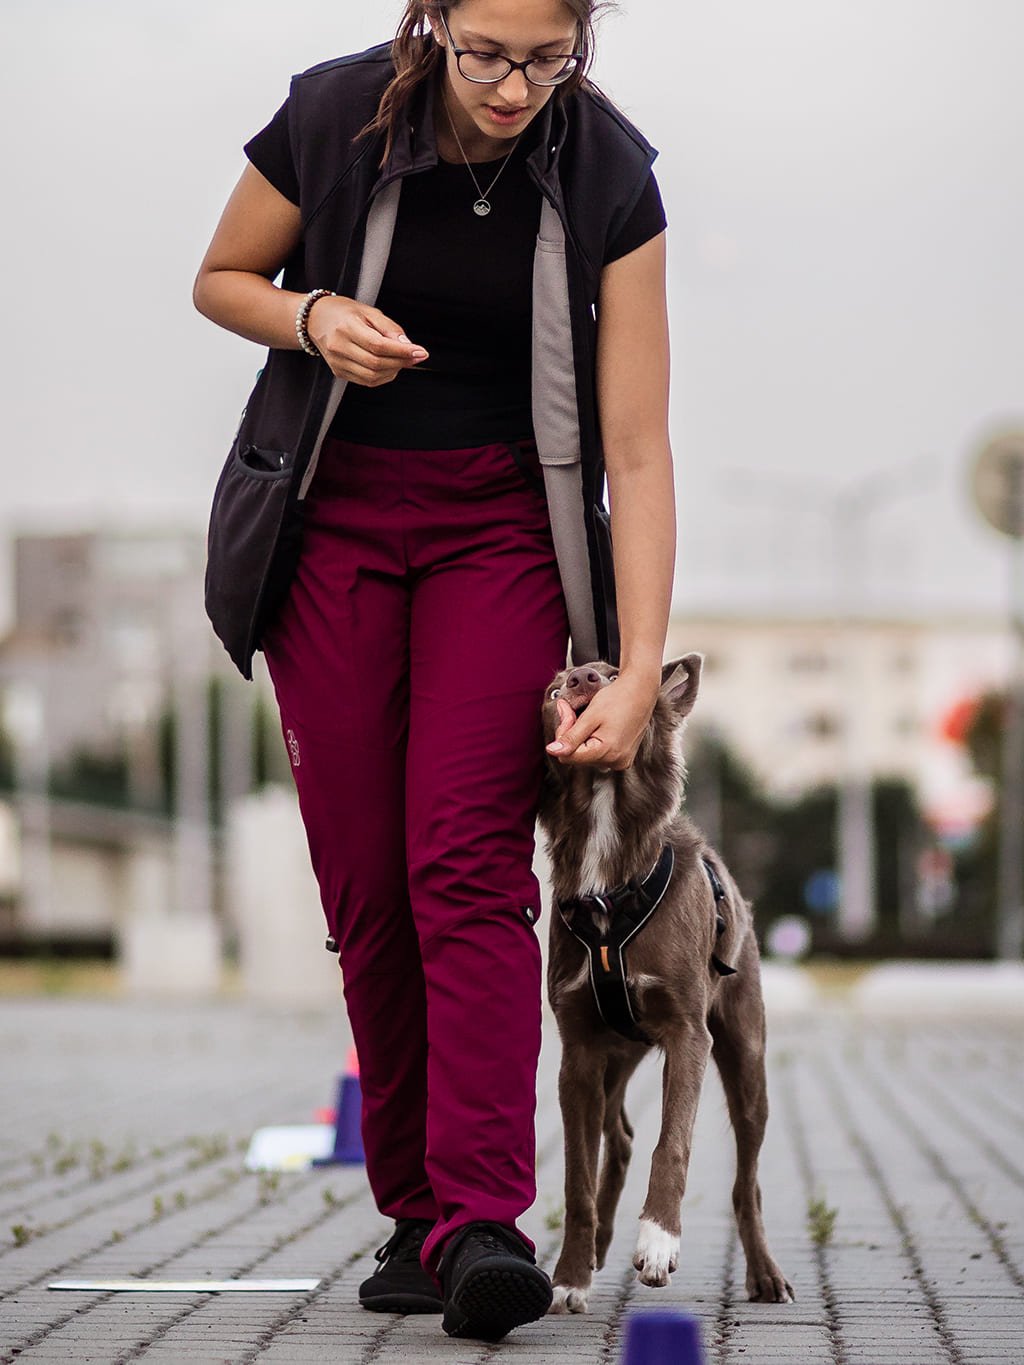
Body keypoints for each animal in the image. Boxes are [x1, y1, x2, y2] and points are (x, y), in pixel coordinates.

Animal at [537, 649, 791, 1310]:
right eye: (552, 688)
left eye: (617, 676)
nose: (582, 679)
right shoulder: (577, 1053)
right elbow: (576, 1178)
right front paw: (569, 1274)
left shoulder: (687, 1034)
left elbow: (671, 1143)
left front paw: (657, 1242)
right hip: (613, 1056)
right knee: (619, 1137)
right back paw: (596, 1249)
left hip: (746, 1058)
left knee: (747, 1182)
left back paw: (764, 1274)